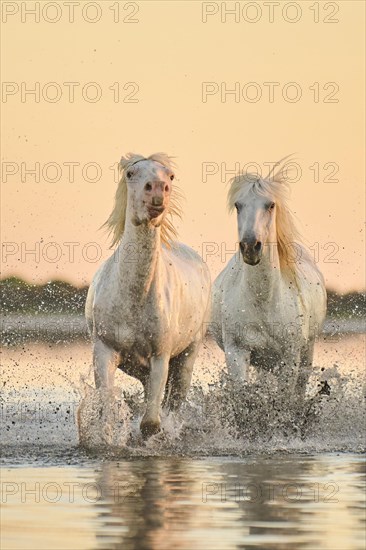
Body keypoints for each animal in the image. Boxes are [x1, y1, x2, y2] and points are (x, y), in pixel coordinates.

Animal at [86, 154, 210, 440]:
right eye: (130, 173)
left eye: (171, 176)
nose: (157, 191)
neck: (134, 296)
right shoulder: (104, 350)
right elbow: (107, 411)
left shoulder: (160, 357)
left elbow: (150, 424)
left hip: (187, 356)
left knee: (174, 403)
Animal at [210, 161, 328, 402]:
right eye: (238, 205)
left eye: (271, 205)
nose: (250, 247)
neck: (263, 300)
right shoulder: (236, 352)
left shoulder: (290, 357)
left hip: (307, 352)